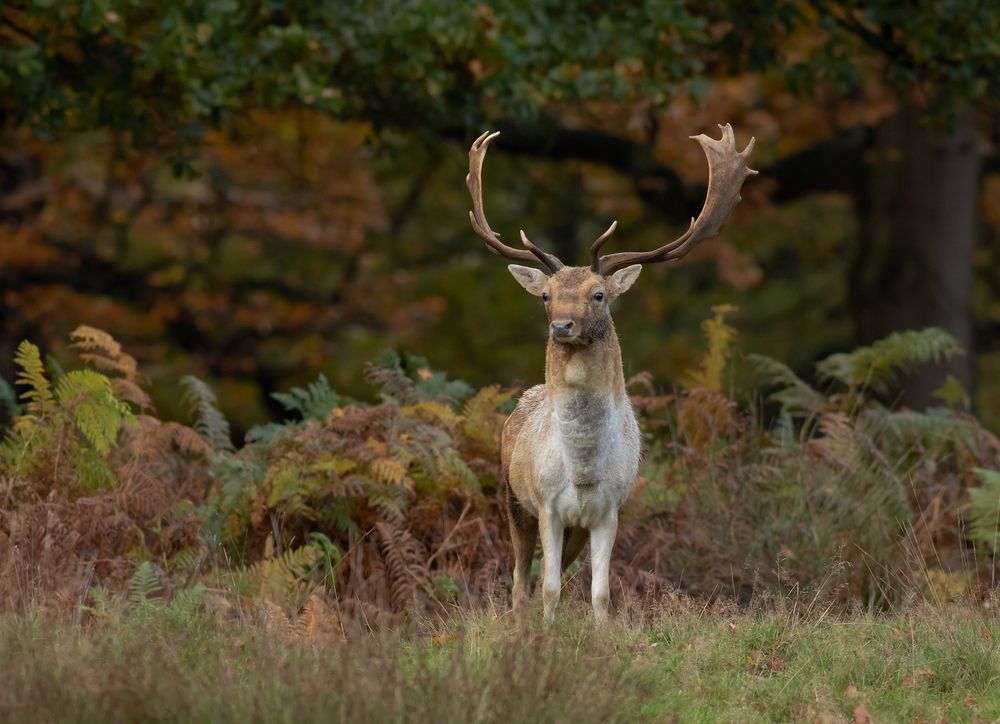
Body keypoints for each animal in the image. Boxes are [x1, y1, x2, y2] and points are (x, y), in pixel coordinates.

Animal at [466, 124, 756, 624]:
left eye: (598, 295)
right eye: (545, 295)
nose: (562, 325)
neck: (584, 471)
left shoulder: (608, 512)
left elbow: (600, 592)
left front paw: (602, 634)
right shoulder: (547, 505)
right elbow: (549, 586)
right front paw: (546, 633)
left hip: (572, 527)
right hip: (511, 498)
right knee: (520, 578)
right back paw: (521, 623)